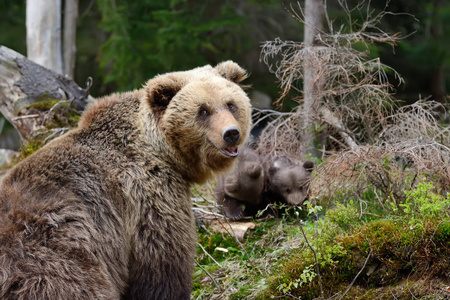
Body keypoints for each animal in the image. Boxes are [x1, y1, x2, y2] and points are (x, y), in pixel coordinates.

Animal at [0, 61, 253, 300]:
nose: (231, 133)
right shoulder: (147, 194)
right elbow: (161, 262)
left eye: (231, 104)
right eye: (203, 111)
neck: (162, 151)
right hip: (52, 253)